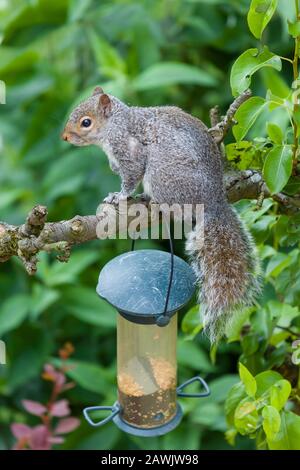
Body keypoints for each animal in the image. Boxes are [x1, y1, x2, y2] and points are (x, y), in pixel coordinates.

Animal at [62, 86, 260, 342]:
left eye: (86, 122)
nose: (64, 137)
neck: (115, 123)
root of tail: (213, 200)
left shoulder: (129, 148)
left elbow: (131, 175)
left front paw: (119, 195)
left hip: (161, 172)